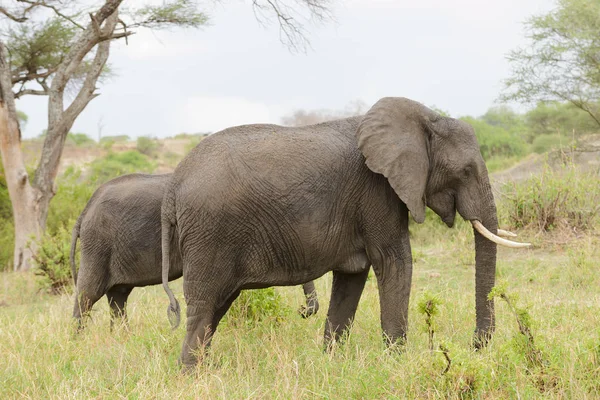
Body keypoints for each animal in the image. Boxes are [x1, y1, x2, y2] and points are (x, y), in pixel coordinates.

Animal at [70, 173, 318, 330]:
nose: (301, 311)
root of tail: (84, 211)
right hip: (98, 244)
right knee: (88, 294)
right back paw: (78, 341)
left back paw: (122, 338)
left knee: (118, 297)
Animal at [161, 97, 528, 368]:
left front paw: (331, 363)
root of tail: (174, 183)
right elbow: (395, 262)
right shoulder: (377, 190)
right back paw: (191, 374)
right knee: (203, 305)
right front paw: (397, 364)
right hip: (209, 233)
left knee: (217, 306)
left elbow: (352, 277)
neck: (426, 118)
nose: (476, 344)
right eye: (465, 171)